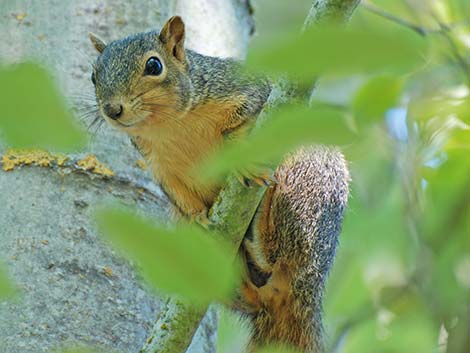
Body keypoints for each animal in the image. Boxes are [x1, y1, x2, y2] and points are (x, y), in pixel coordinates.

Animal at [91, 15, 348, 350]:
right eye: (93, 75)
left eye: (154, 65)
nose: (112, 110)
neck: (169, 126)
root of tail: (309, 288)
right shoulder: (159, 166)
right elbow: (178, 194)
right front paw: (199, 218)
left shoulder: (246, 89)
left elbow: (250, 112)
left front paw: (238, 151)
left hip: (305, 177)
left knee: (285, 252)